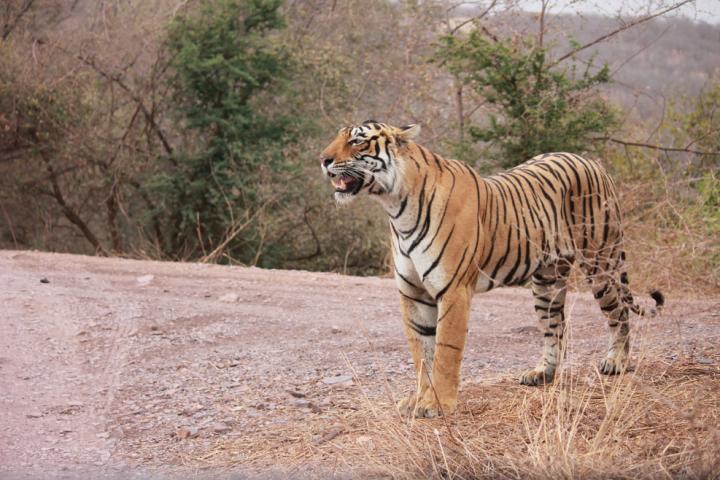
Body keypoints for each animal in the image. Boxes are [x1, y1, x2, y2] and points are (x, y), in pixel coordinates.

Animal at [320, 122, 664, 418]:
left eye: (357, 140)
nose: (323, 160)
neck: (395, 206)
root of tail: (591, 161)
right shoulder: (413, 294)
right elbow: (421, 354)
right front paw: (419, 399)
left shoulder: (454, 291)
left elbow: (445, 352)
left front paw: (438, 404)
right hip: (547, 281)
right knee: (555, 327)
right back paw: (543, 374)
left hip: (600, 262)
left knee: (618, 312)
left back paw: (616, 362)